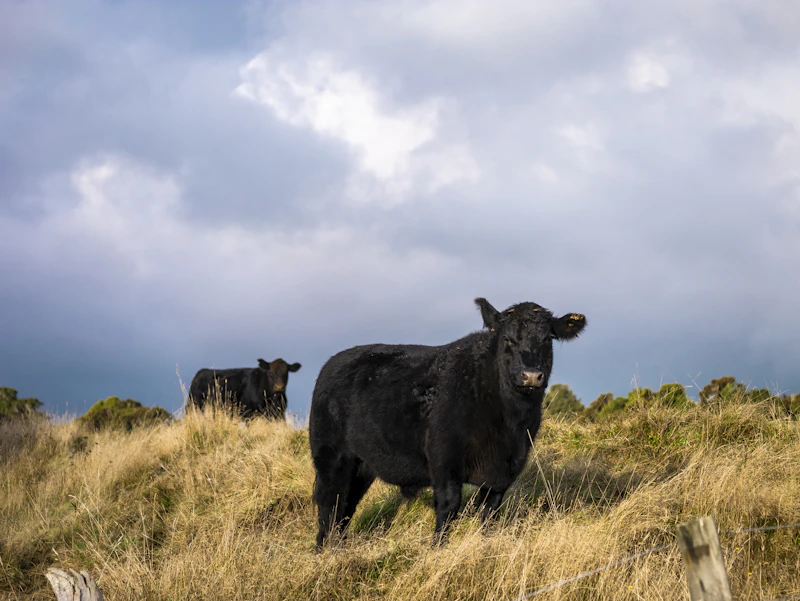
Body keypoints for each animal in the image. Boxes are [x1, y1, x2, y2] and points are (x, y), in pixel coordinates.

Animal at [309, 298, 586, 549]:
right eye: (508, 339)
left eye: (547, 339)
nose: (531, 376)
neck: (507, 424)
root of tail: (334, 362)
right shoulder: (443, 458)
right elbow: (449, 506)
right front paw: (437, 548)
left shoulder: (508, 468)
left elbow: (490, 513)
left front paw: (485, 545)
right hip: (332, 457)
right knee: (330, 502)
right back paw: (325, 550)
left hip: (362, 466)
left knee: (347, 506)